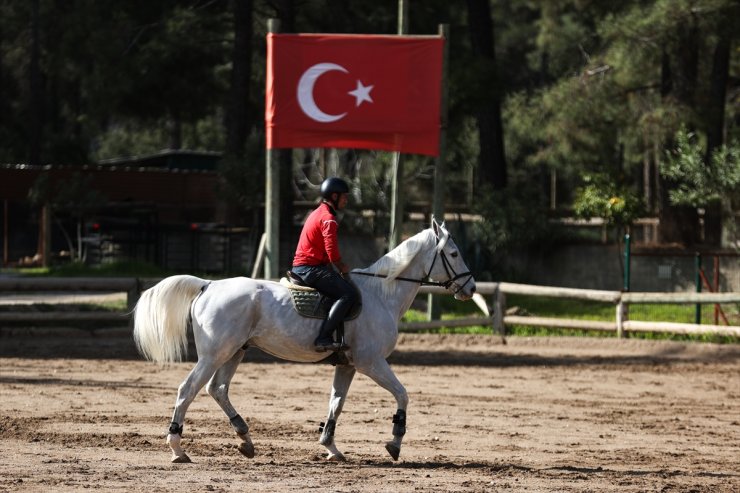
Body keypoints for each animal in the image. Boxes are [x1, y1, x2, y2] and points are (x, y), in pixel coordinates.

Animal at [132, 219, 474, 462]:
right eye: (454, 254)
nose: (469, 288)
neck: (380, 295)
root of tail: (209, 285)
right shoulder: (372, 362)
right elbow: (402, 395)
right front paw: (394, 442)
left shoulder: (348, 365)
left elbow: (336, 403)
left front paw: (331, 447)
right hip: (215, 354)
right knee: (188, 390)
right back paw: (178, 448)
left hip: (235, 352)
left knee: (218, 389)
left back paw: (245, 438)